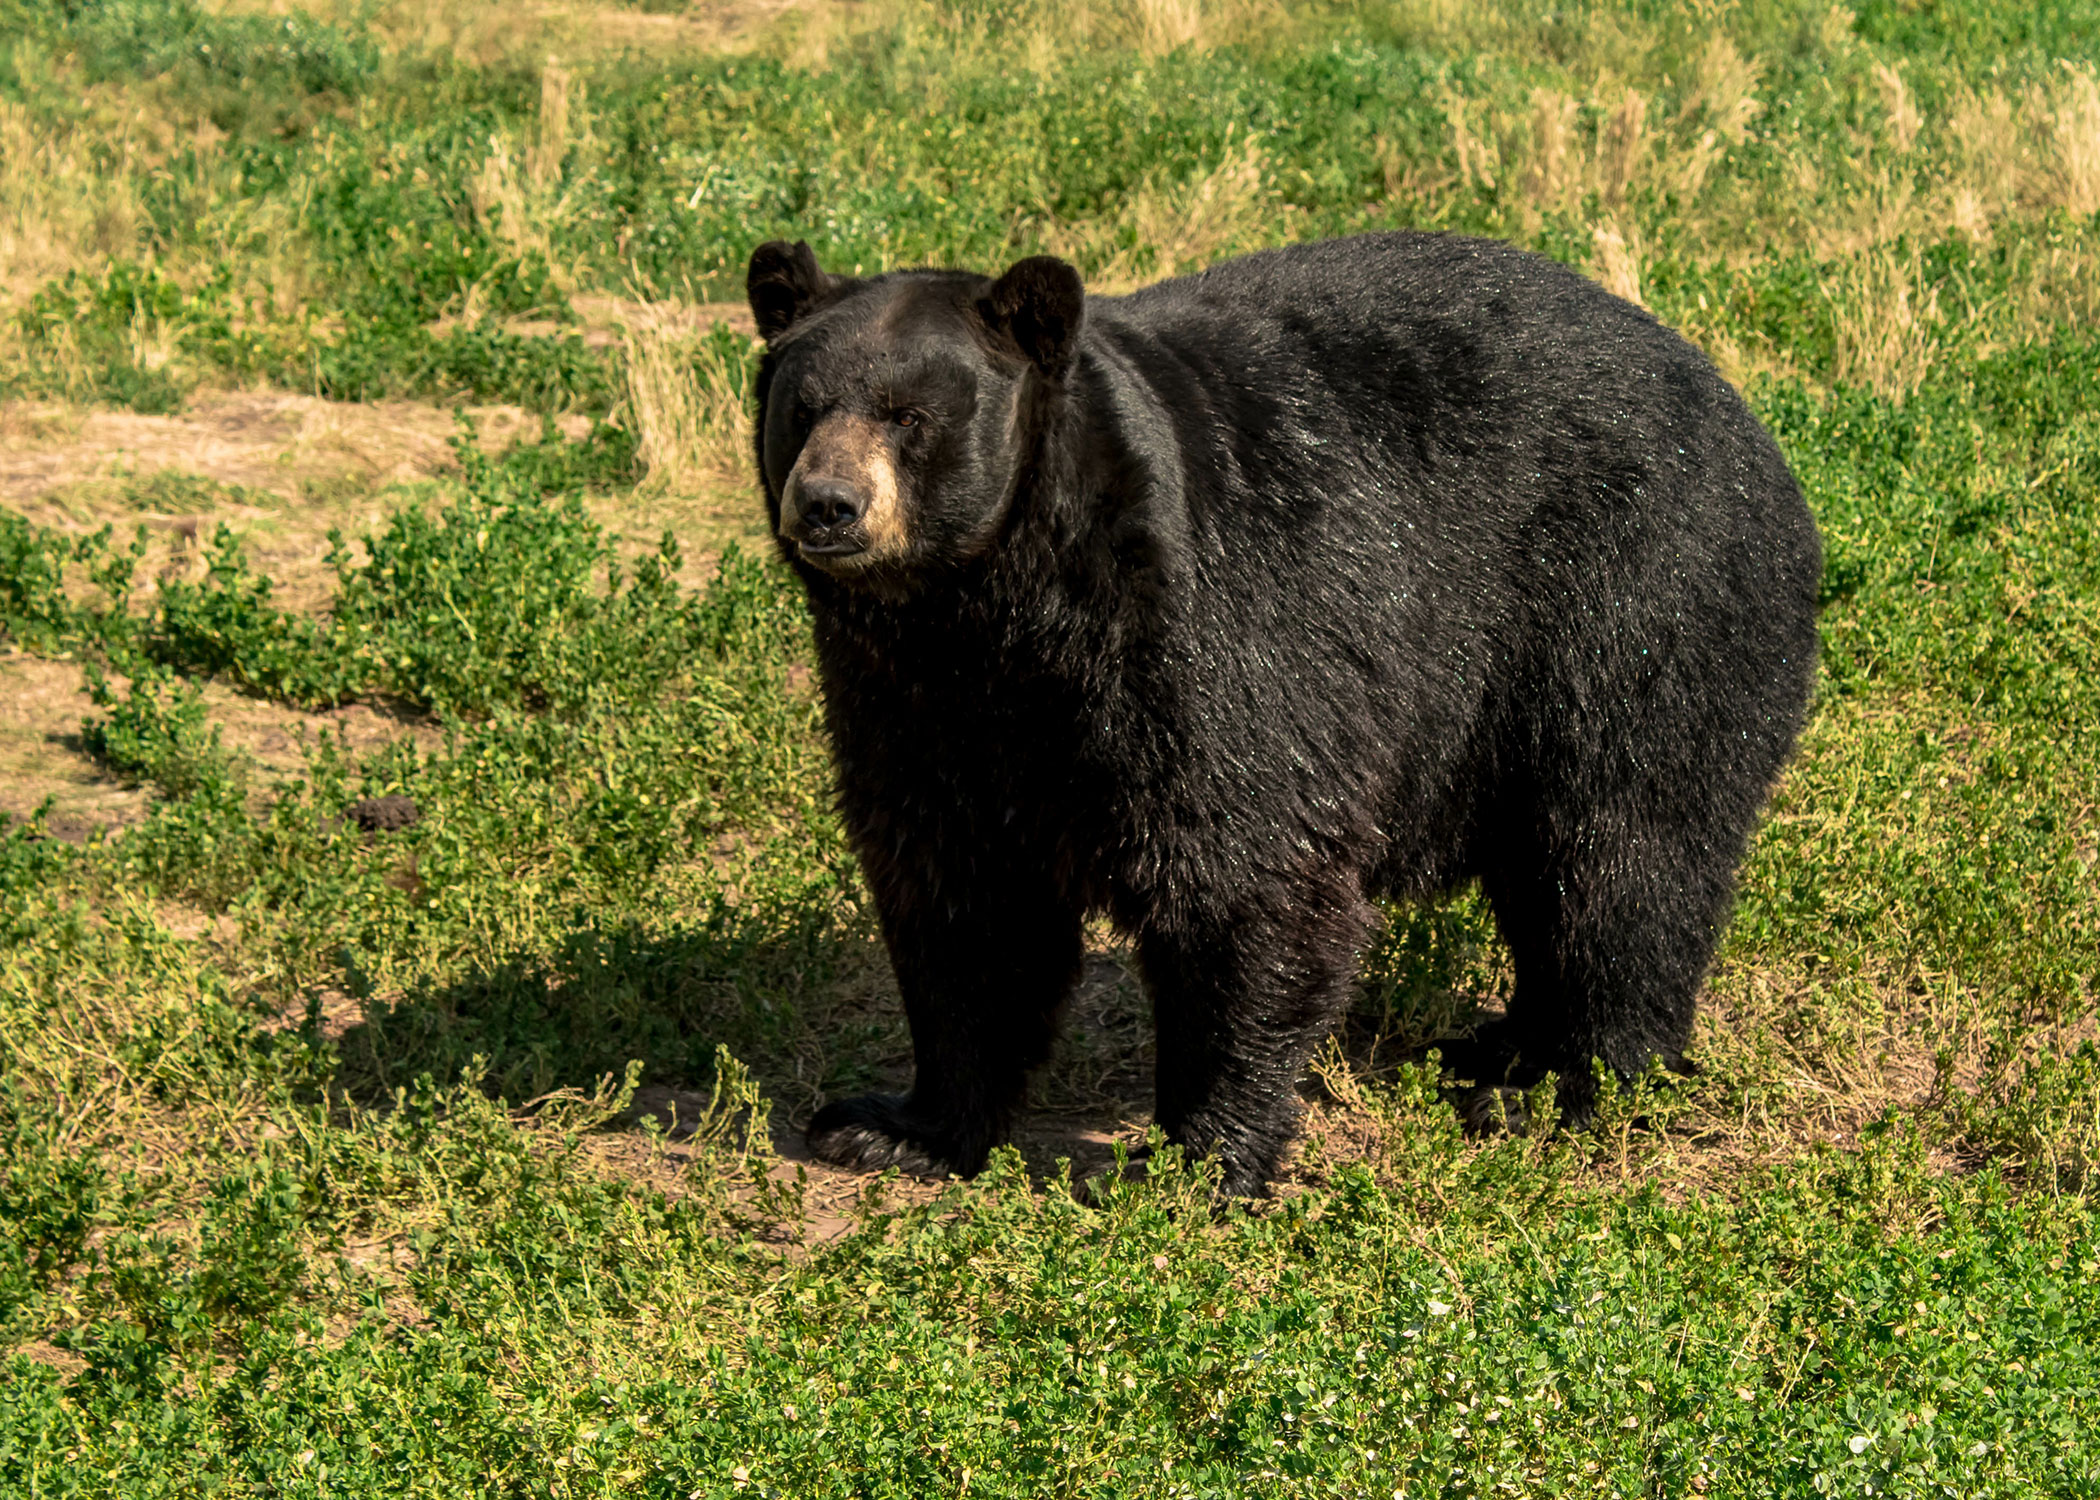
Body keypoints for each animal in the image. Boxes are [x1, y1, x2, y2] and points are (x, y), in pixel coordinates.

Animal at [746, 230, 1820, 1197]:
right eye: (801, 408)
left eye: (909, 416)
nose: (829, 504)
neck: (997, 611)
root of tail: (1744, 415)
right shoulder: (910, 700)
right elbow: (962, 897)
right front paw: (893, 1125)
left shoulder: (1205, 634)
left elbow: (1243, 869)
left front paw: (1191, 1159)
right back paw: (1501, 1045)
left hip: (1633, 601)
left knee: (1623, 852)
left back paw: (1569, 1083)